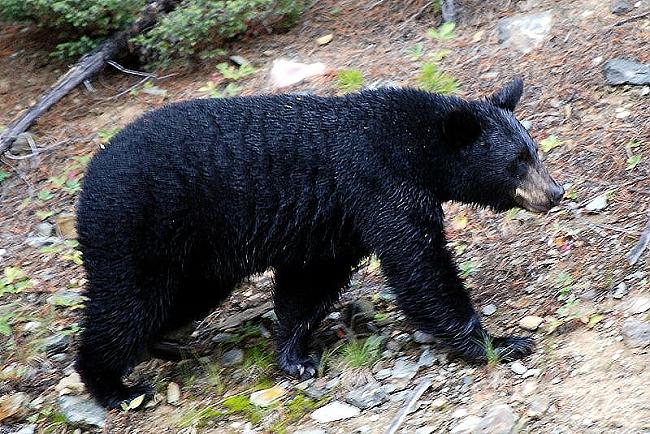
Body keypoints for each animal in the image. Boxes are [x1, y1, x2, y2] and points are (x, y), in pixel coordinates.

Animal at [74, 78, 560, 406]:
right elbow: (421, 267)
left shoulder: (338, 223)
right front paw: (500, 342)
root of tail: (89, 176)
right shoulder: (380, 185)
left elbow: (310, 284)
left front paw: (295, 356)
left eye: (533, 150)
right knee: (126, 305)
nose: (555, 192)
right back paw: (114, 387)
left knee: (179, 300)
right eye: (517, 162)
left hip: (196, 257)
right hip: (138, 229)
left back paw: (162, 344)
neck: (417, 148)